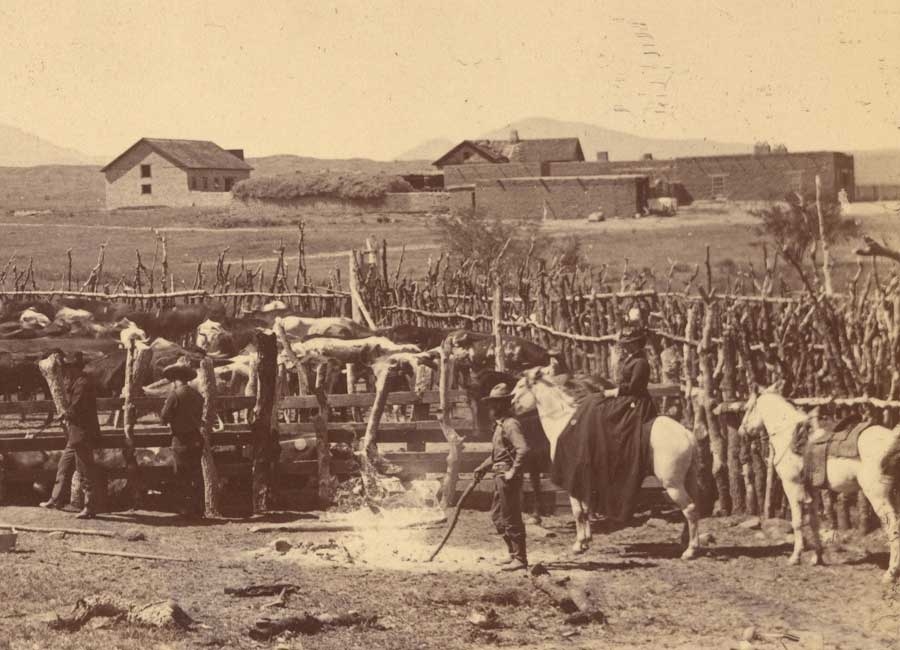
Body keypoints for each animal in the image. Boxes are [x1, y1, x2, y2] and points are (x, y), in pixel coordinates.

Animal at [510, 360, 700, 556]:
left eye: (521, 386)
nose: (510, 403)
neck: (564, 422)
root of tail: (686, 434)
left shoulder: (572, 480)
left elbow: (578, 511)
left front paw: (578, 544)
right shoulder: (583, 482)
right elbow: (585, 510)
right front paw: (586, 541)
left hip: (672, 484)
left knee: (689, 509)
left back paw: (690, 550)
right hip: (688, 480)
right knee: (694, 508)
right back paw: (686, 542)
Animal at [740, 384, 900, 584]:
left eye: (748, 408)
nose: (741, 432)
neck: (789, 434)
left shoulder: (791, 486)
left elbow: (797, 522)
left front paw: (795, 557)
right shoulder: (813, 490)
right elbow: (814, 522)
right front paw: (817, 557)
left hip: (878, 495)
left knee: (893, 527)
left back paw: (890, 573)